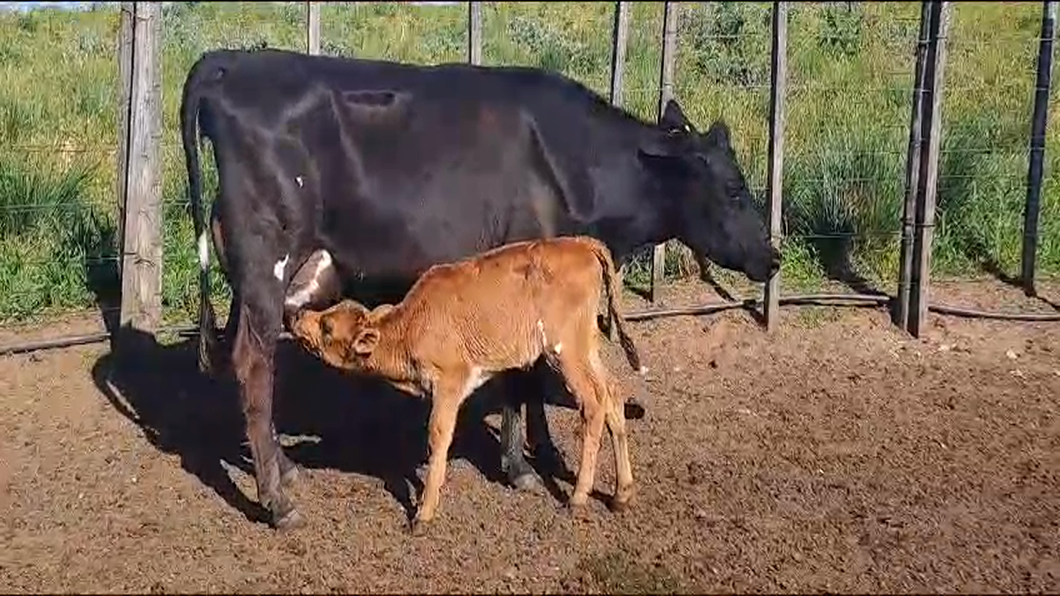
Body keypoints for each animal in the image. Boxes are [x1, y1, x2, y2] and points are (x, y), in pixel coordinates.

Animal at [290, 234, 644, 530]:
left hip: (566, 351)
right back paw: (621, 495)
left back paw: (578, 497)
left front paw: (423, 513)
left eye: (327, 327)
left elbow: (438, 436)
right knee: (612, 393)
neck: (410, 327)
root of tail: (581, 243)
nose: (297, 317)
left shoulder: (448, 382)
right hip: (586, 348)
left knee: (593, 404)